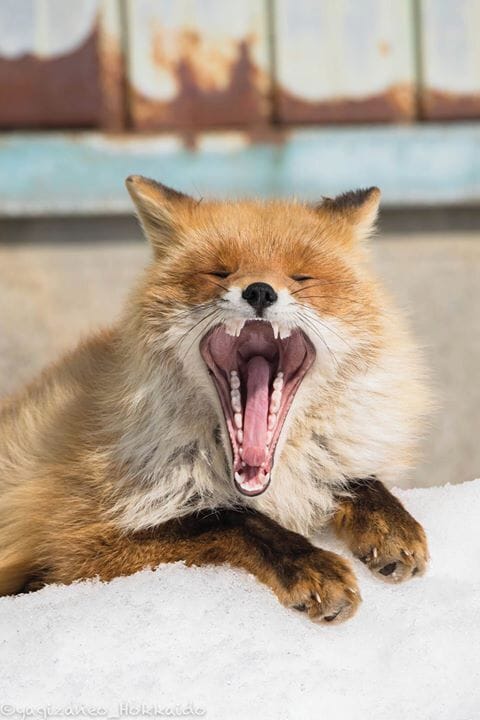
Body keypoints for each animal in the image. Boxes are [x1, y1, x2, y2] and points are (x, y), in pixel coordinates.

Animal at [0, 177, 430, 623]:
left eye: (302, 276)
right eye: (219, 272)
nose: (259, 291)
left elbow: (355, 478)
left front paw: (388, 521)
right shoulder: (80, 546)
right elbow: (228, 519)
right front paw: (308, 564)